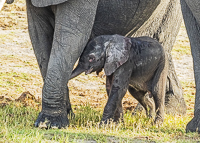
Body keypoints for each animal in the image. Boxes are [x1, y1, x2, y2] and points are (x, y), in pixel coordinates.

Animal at [25, 0, 187, 128]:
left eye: (91, 58)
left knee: (156, 88)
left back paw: (157, 120)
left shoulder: (125, 65)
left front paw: (50, 124)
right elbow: (39, 35)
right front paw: (115, 123)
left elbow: (71, 35)